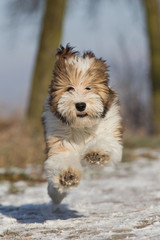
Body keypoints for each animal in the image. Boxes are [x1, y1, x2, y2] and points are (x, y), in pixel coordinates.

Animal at [42, 44, 122, 204]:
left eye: (88, 88)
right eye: (69, 88)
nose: (80, 105)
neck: (81, 126)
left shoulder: (109, 130)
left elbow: (105, 141)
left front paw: (96, 154)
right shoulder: (59, 140)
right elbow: (62, 158)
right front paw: (68, 175)